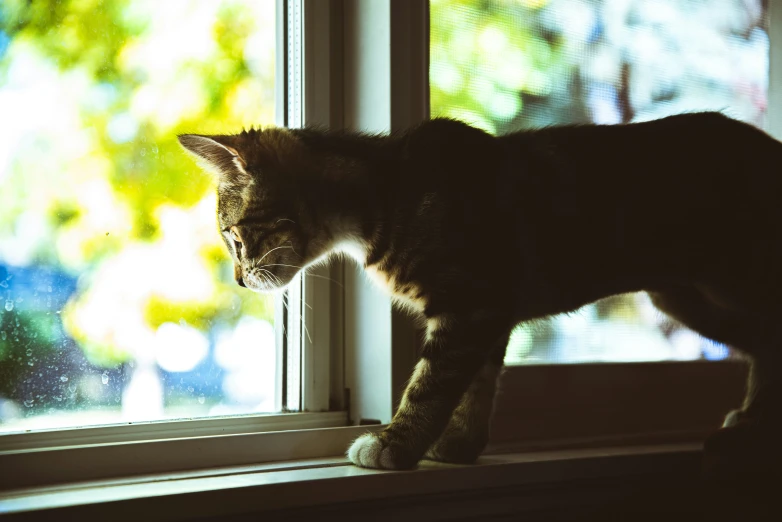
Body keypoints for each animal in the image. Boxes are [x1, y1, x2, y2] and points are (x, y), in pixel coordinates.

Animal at [178, 111, 782, 470]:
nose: (239, 278)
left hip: (731, 280)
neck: (386, 191)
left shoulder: (470, 303)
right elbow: (476, 383)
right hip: (690, 296)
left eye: (234, 237)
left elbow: (432, 381)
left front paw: (396, 443)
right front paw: (457, 444)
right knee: (763, 342)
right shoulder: (486, 310)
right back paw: (754, 421)